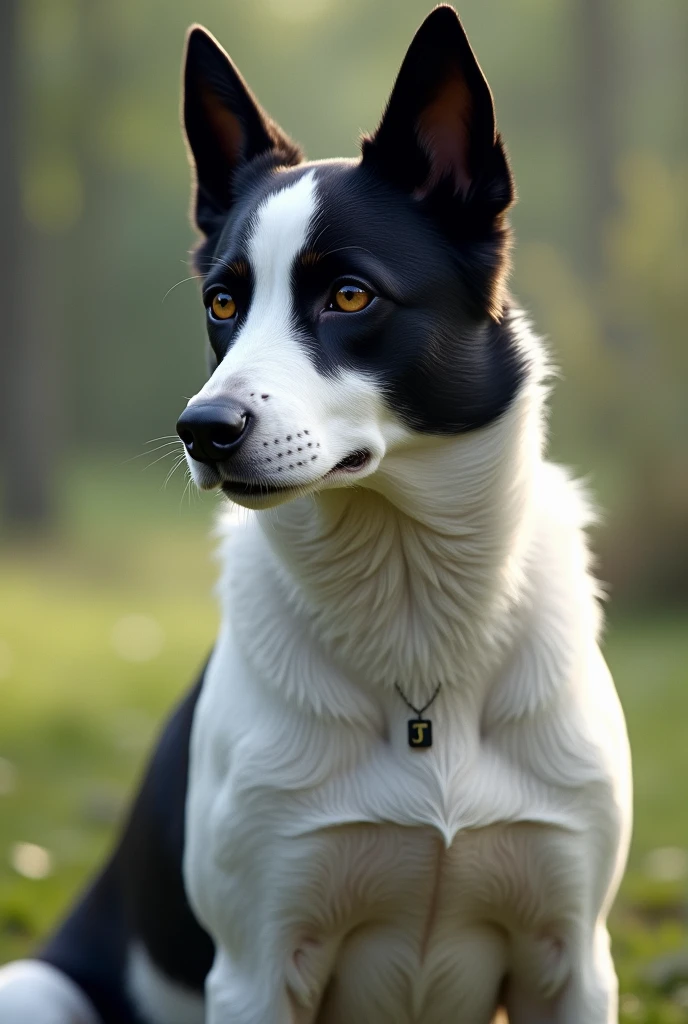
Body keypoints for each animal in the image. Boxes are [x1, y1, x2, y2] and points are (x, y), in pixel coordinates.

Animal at [0, 8, 634, 1024]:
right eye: (223, 302)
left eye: (349, 295)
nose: (203, 430)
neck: (412, 615)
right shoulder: (258, 966)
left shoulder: (570, 959)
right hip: (36, 988)